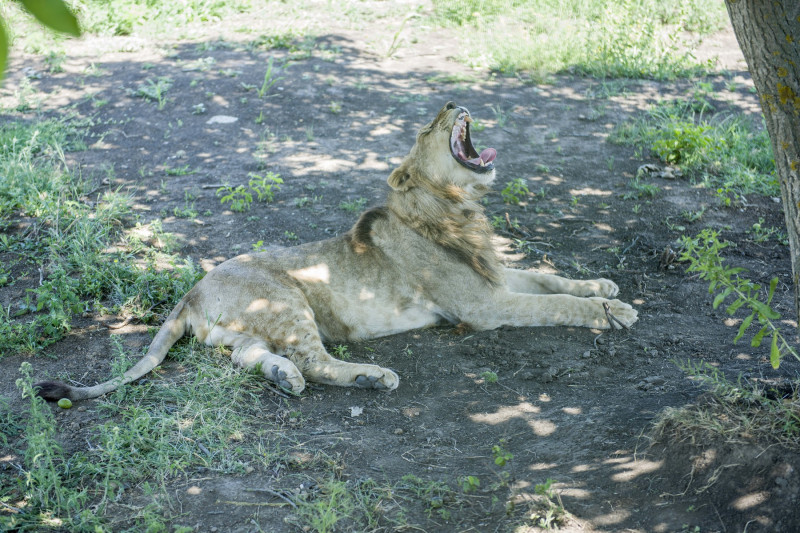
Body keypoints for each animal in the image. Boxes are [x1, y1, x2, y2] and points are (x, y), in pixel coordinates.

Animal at [36, 100, 636, 402]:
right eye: (428, 127)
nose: (452, 101)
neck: (459, 209)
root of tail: (192, 291)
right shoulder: (483, 307)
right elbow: (553, 304)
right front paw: (611, 311)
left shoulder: (493, 275)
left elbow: (547, 276)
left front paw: (605, 286)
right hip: (286, 301)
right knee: (318, 361)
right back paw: (370, 376)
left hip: (247, 329)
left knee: (251, 358)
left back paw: (285, 379)